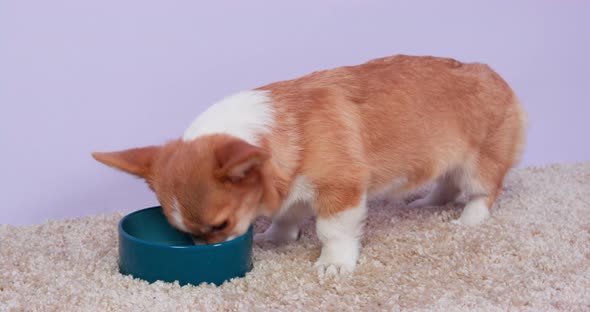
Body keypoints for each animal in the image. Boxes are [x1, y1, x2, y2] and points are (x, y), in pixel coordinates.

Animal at [92, 54, 528, 274]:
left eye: (221, 226)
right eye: (184, 234)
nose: (207, 253)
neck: (278, 134)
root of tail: (495, 75)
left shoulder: (341, 190)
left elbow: (332, 230)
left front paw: (334, 263)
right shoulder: (295, 189)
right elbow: (288, 215)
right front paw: (276, 238)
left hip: (479, 163)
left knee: (484, 190)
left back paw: (469, 219)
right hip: (446, 161)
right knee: (445, 183)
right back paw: (431, 203)